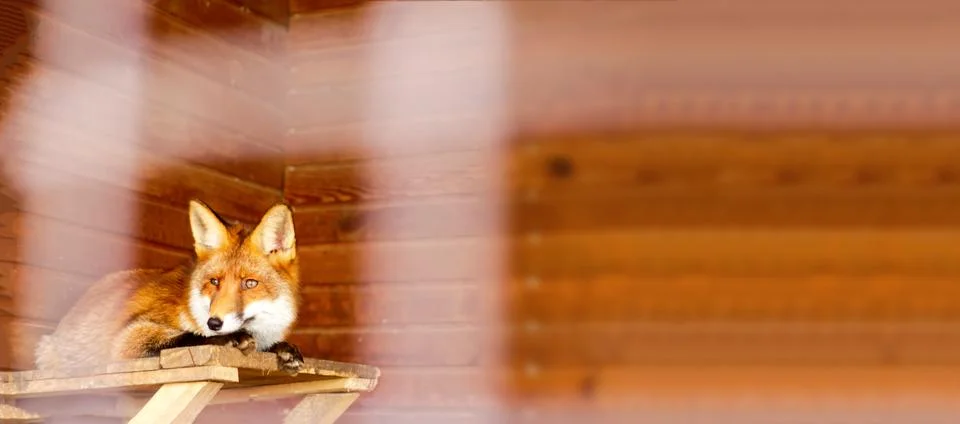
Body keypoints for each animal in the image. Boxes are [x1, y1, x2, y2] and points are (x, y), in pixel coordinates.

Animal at [34, 200, 304, 372]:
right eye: (214, 282)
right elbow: (189, 336)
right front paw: (227, 338)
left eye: (250, 283)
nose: (214, 323)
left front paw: (283, 349)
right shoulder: (128, 337)